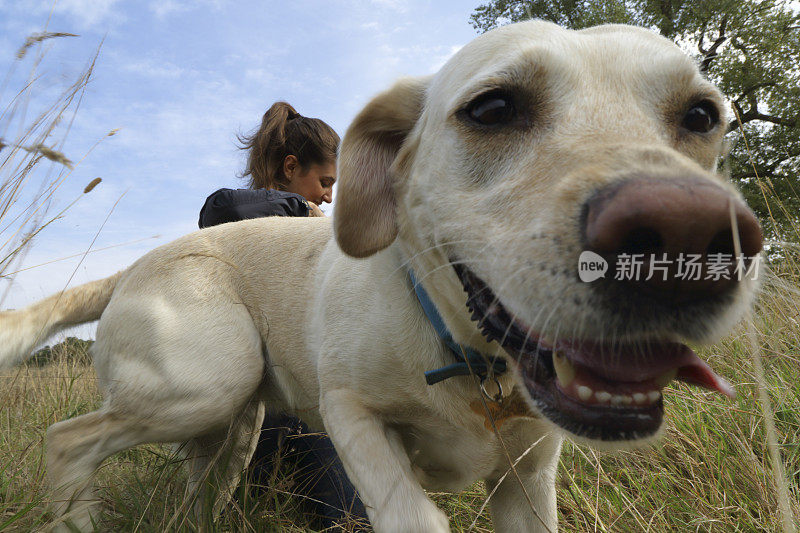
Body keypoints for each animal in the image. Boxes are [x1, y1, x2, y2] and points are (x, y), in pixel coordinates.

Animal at [0, 19, 764, 532]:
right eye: (492, 107)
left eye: (703, 115)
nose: (690, 238)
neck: (471, 361)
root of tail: (134, 264)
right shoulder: (352, 414)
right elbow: (413, 513)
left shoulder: (528, 477)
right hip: (205, 382)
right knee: (67, 440)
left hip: (232, 425)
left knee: (198, 490)